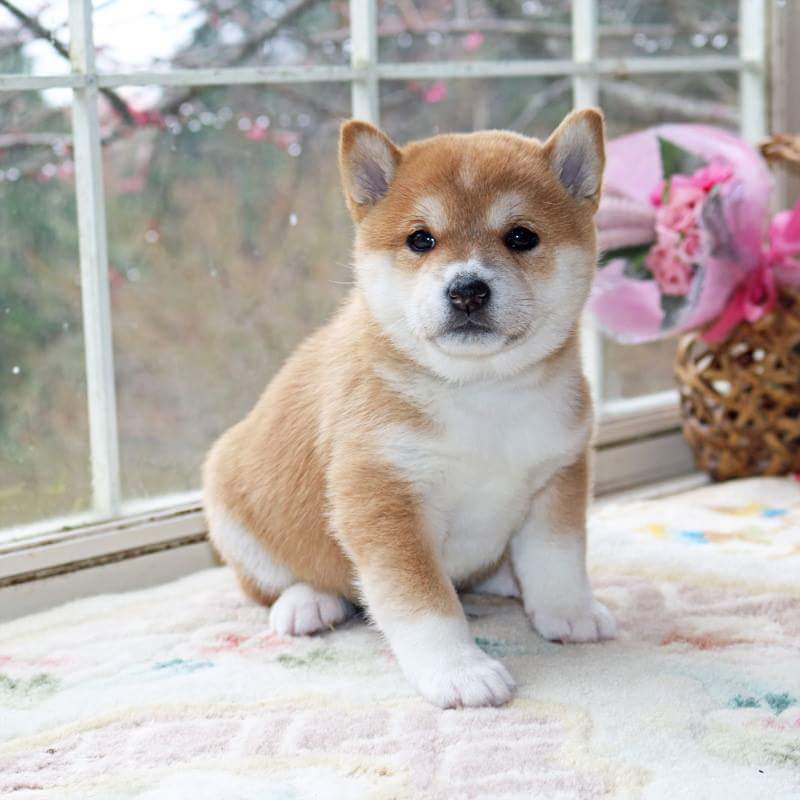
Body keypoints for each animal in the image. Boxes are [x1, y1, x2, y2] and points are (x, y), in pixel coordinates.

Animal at [203, 108, 616, 708]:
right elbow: (425, 605)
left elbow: (557, 561)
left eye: (521, 236)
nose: (467, 289)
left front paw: (569, 612)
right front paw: (458, 671)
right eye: (421, 239)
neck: (481, 395)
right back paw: (308, 603)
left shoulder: (556, 478)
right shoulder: (383, 498)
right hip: (231, 505)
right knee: (273, 584)